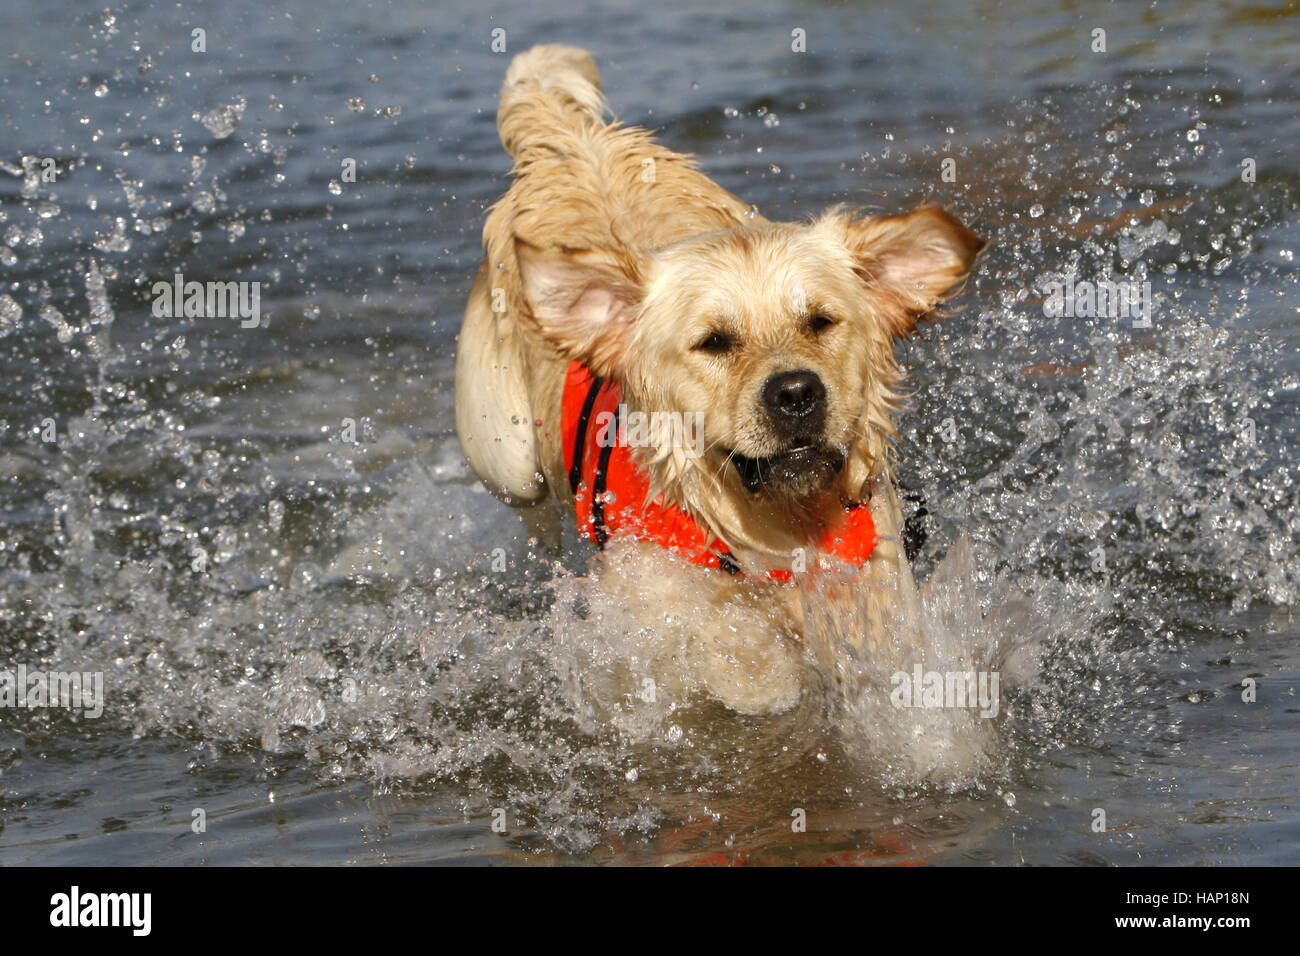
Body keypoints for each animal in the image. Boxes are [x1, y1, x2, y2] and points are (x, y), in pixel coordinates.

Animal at [452, 46, 977, 717]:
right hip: (505, 460)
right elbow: (732, 659)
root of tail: (571, 144)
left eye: (820, 321)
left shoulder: (879, 586)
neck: (775, 533)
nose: (796, 394)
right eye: (713, 342)